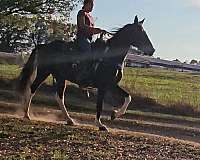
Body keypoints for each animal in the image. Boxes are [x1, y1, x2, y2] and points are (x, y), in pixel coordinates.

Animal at [17, 15, 155, 131]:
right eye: (140, 32)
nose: (152, 50)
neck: (110, 56)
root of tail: (43, 45)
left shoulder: (111, 85)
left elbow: (128, 97)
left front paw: (114, 114)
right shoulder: (103, 86)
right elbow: (99, 105)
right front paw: (100, 125)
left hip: (61, 78)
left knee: (59, 96)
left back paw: (69, 120)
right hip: (43, 72)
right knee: (33, 88)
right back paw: (26, 113)